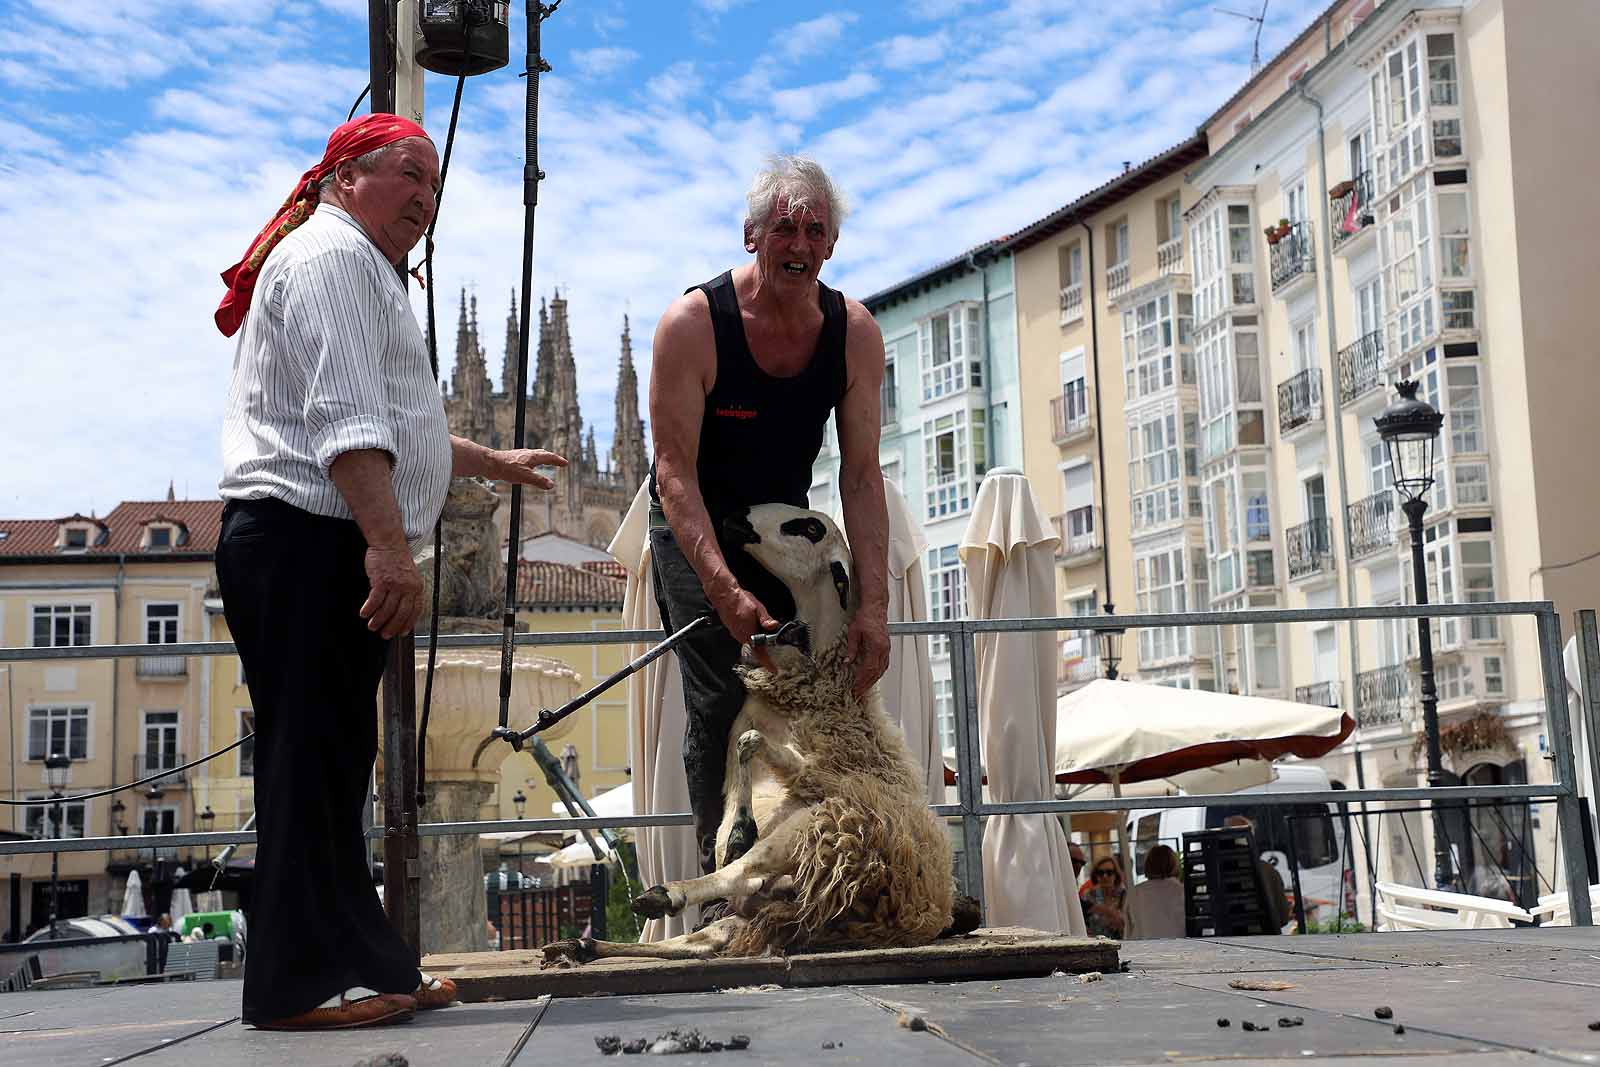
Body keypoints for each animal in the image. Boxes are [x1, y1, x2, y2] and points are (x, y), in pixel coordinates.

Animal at [540, 505, 972, 966]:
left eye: (810, 527)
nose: (735, 517)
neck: (819, 692)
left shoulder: (815, 775)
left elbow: (751, 749)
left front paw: (739, 831)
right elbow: (743, 754)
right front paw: (736, 828)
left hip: (820, 826)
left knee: (743, 874)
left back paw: (665, 894)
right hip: (763, 899)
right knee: (704, 937)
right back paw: (579, 945)